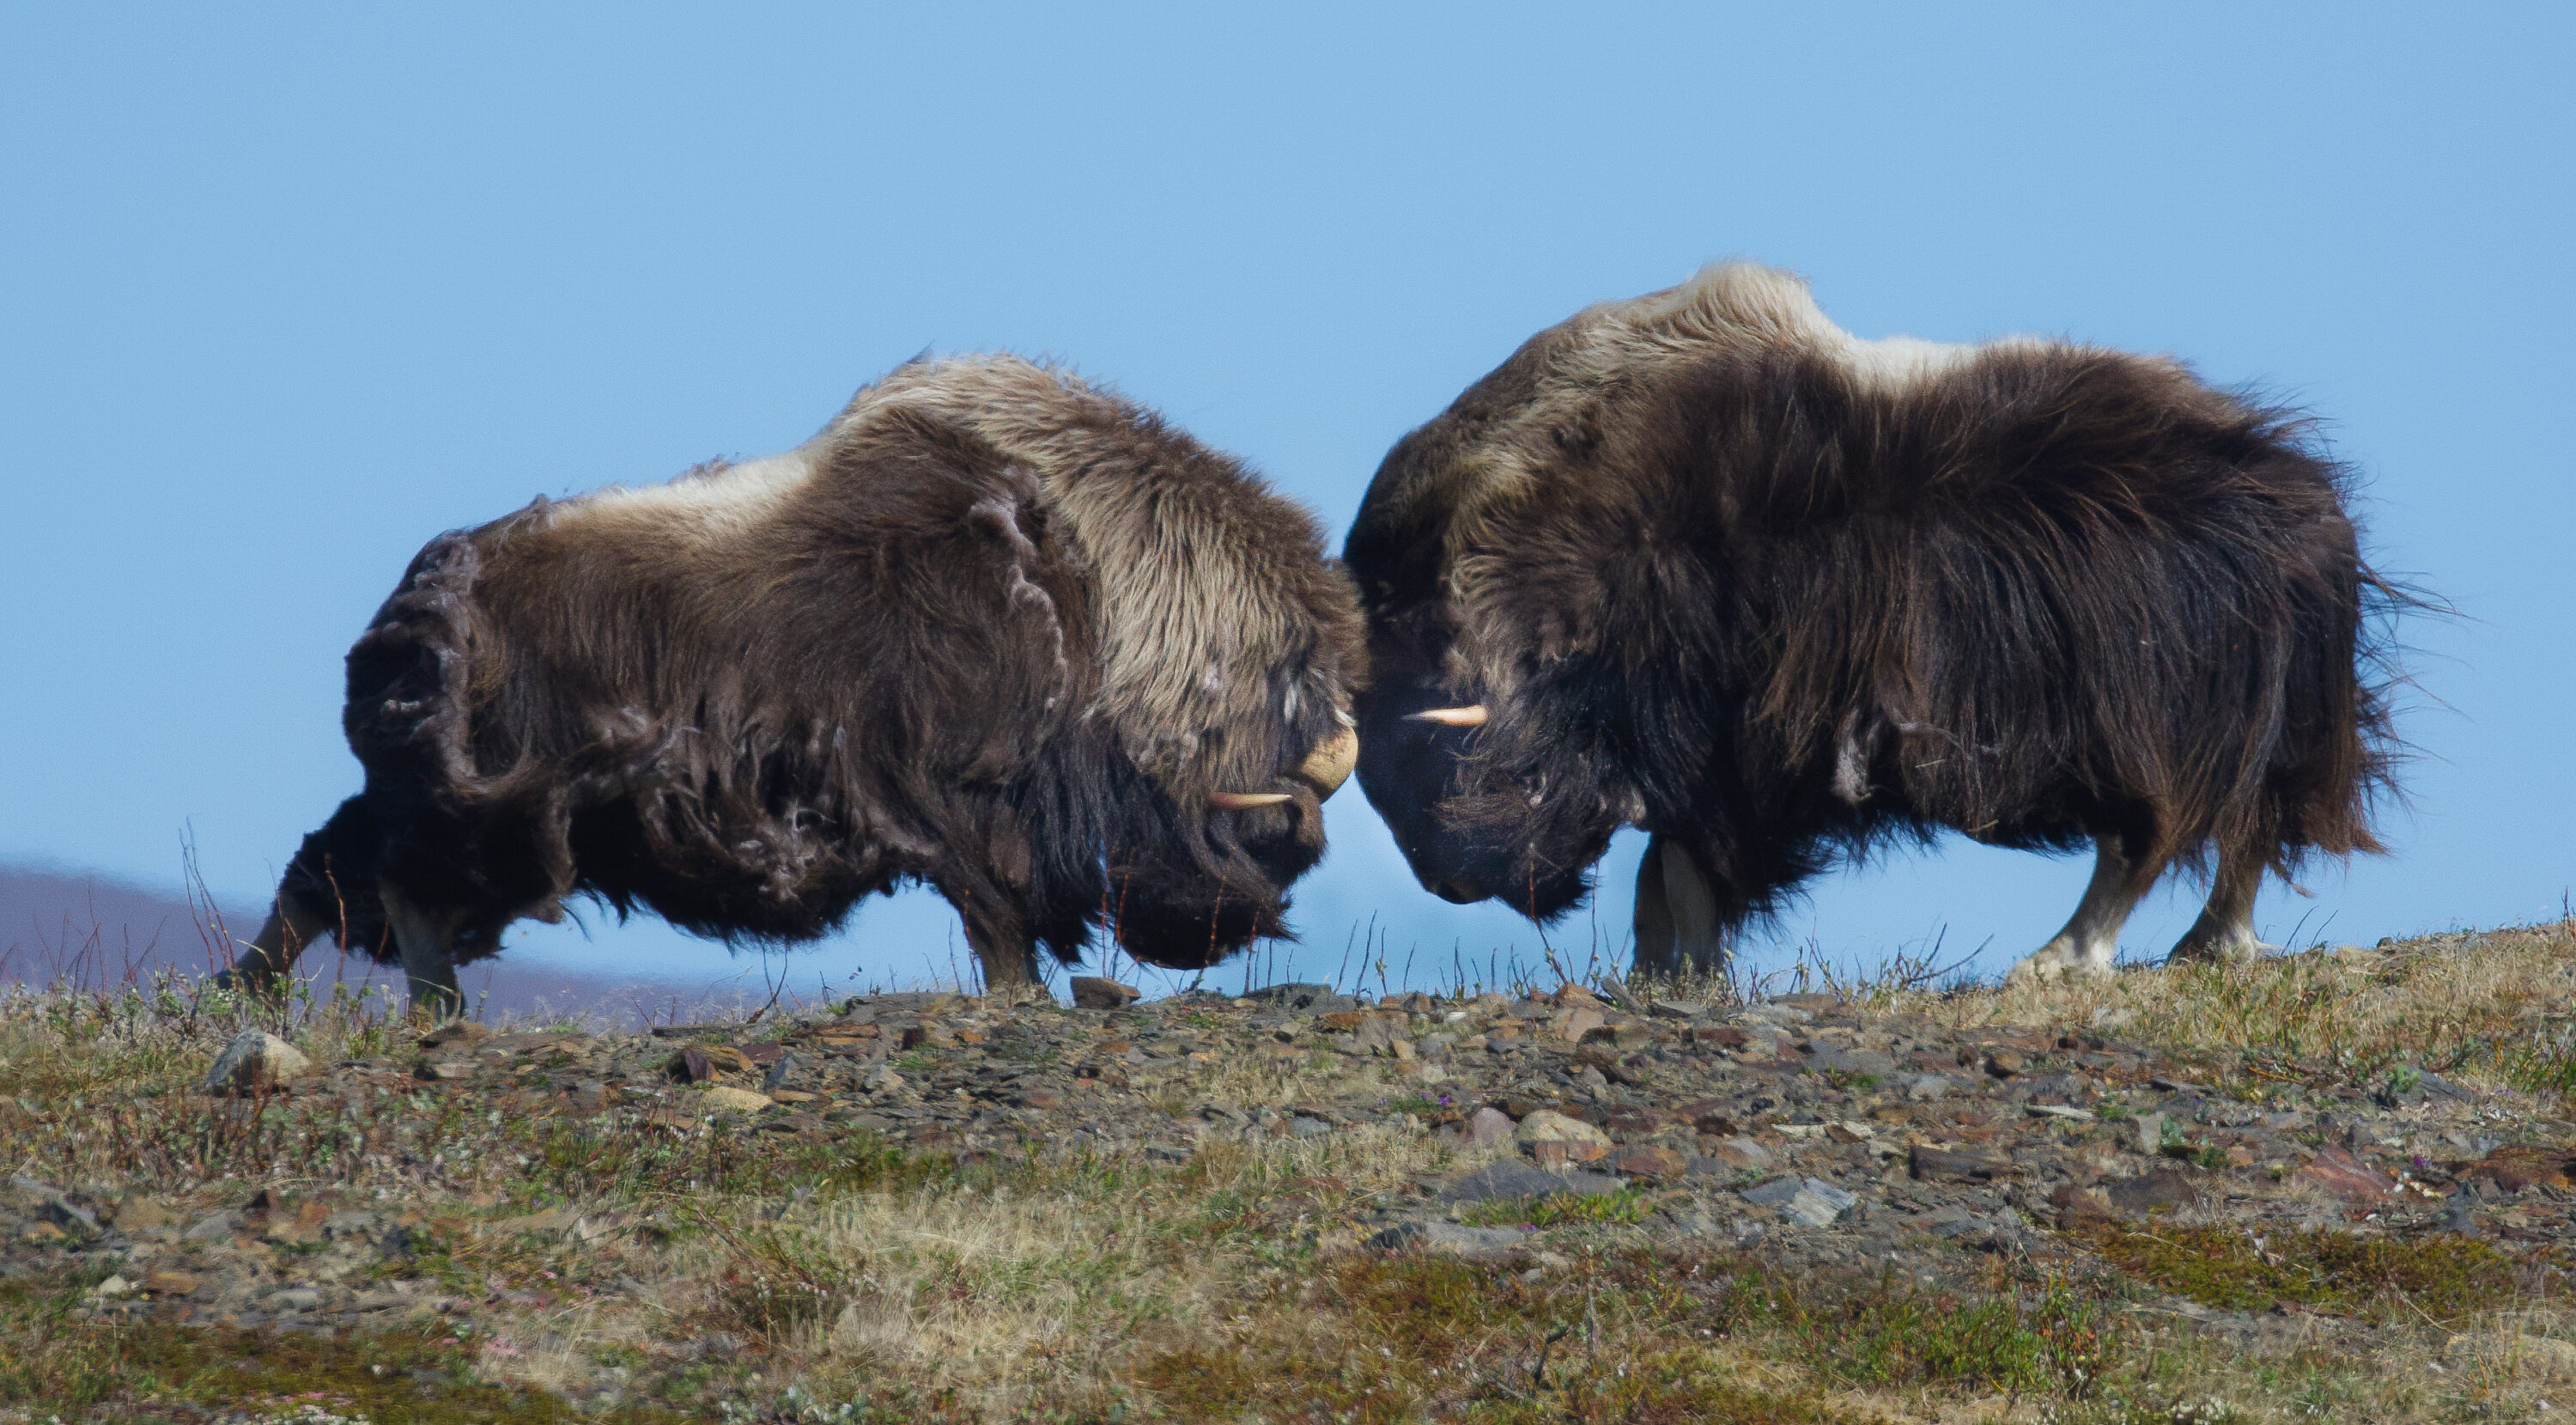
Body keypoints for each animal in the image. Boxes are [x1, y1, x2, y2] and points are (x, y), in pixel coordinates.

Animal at [223, 355, 1367, 1014]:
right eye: (1284, 690)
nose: (1206, 939)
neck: (1102, 583)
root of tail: (431, 591)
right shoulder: (963, 801)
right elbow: (997, 915)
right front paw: (1022, 1004)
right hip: (490, 810)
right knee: (384, 880)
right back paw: (411, 1013)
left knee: (335, 868)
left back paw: (275, 995)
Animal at [1344, 263, 2396, 984]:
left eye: (1427, 732)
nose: (1452, 883)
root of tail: (2308, 511)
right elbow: (1660, 878)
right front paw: (1657, 976)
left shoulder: (1725, 753)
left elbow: (1678, 873)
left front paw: (1682, 974)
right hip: (2266, 727)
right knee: (2242, 832)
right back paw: (2206, 947)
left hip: (2152, 727)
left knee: (2150, 839)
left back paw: (2060, 959)